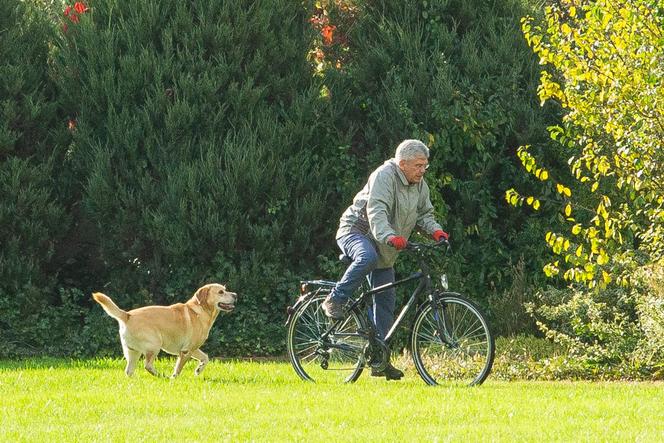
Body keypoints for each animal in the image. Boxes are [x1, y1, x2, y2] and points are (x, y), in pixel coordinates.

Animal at [92, 284, 237, 378]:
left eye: (225, 289)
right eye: (221, 292)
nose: (235, 294)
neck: (200, 311)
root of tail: (127, 315)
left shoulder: (193, 348)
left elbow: (205, 358)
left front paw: (198, 370)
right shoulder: (186, 351)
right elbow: (178, 368)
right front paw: (174, 378)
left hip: (133, 352)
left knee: (129, 371)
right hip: (155, 345)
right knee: (147, 365)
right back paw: (162, 376)